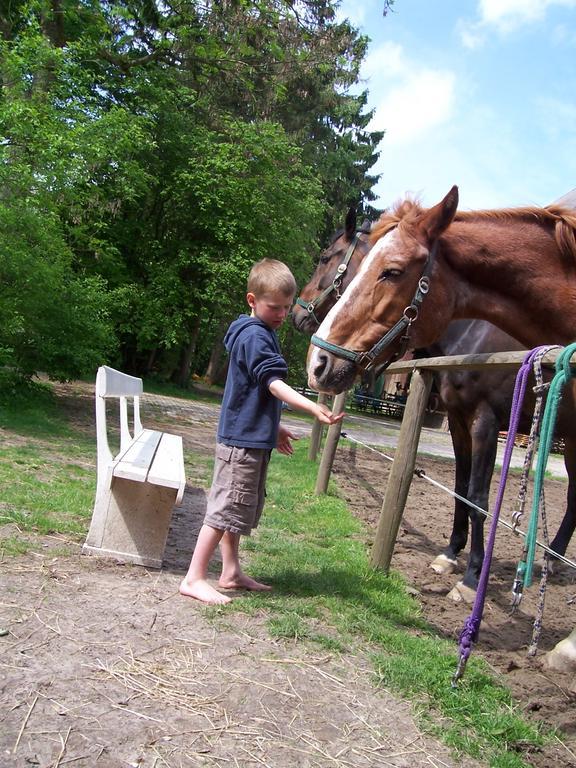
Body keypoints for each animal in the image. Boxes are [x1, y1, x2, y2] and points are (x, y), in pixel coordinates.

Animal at [296, 208, 576, 600]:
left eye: (326, 258)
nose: (297, 314)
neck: (470, 336)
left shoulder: (486, 422)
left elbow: (479, 498)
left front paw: (472, 578)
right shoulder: (458, 421)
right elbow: (460, 492)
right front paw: (450, 554)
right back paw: (552, 560)